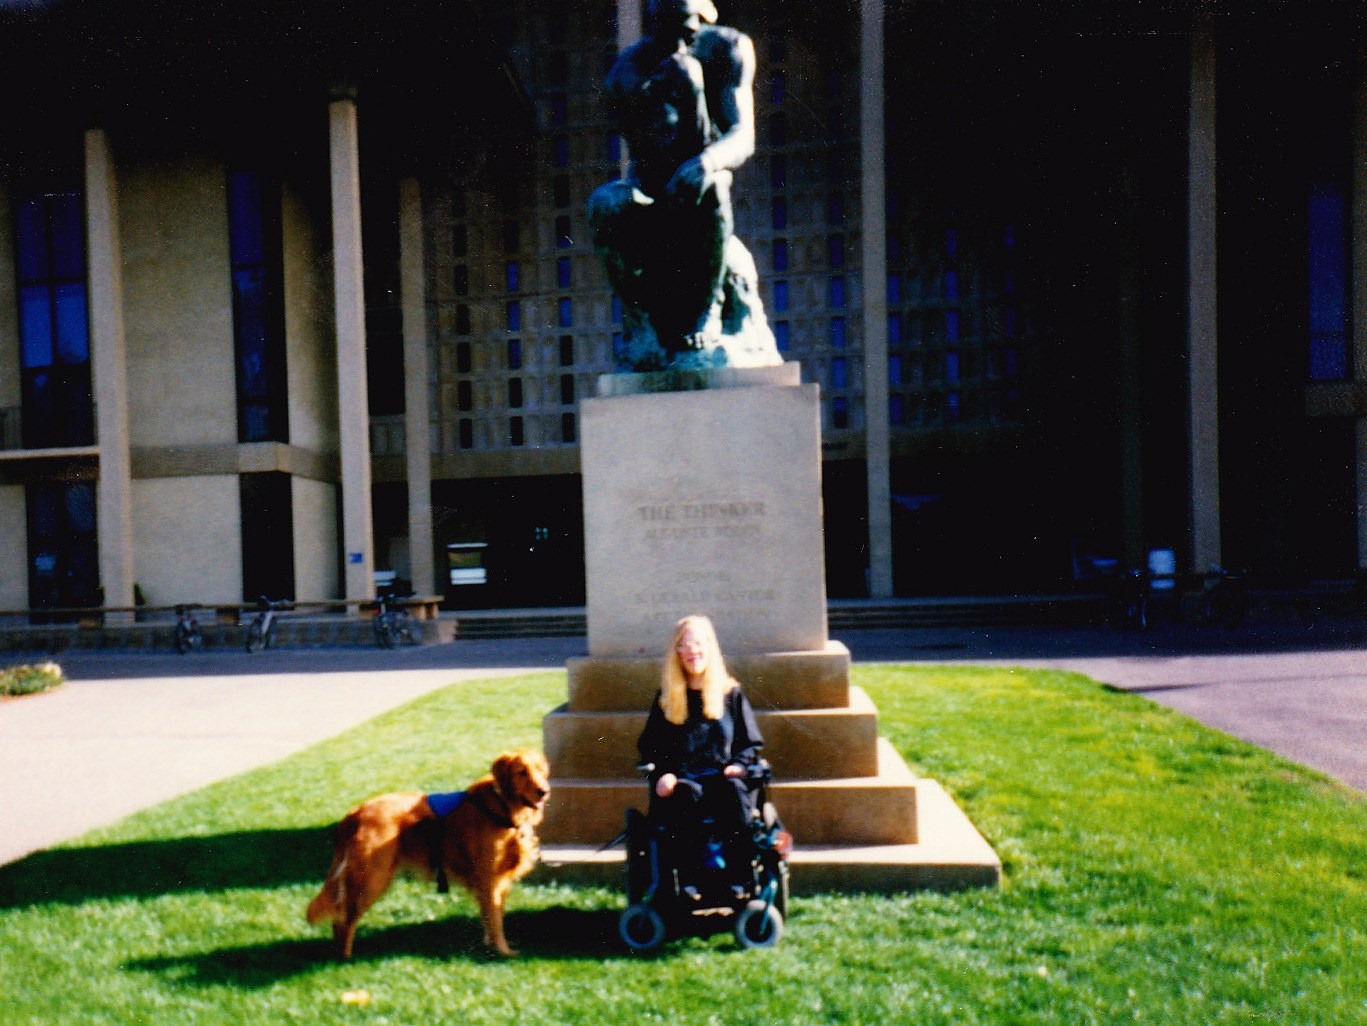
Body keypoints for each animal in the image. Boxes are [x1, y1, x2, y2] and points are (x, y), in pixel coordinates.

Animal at [306, 748, 549, 961]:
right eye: (521, 772)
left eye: (539, 769)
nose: (544, 791)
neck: (502, 806)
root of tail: (354, 813)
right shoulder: (489, 880)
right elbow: (496, 921)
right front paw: (503, 952)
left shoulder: (497, 883)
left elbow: (492, 919)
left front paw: (490, 946)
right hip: (371, 879)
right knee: (343, 919)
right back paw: (345, 957)